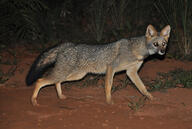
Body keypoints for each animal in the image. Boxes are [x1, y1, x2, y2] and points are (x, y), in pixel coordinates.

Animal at [25, 24, 171, 106]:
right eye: (156, 44)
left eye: (164, 44)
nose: (163, 52)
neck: (136, 50)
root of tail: (67, 44)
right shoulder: (111, 67)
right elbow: (108, 86)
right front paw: (109, 102)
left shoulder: (131, 72)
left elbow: (142, 88)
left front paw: (150, 97)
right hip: (65, 74)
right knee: (40, 81)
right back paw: (33, 101)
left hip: (75, 76)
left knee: (56, 82)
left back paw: (60, 97)